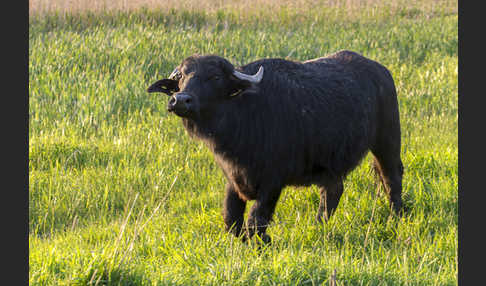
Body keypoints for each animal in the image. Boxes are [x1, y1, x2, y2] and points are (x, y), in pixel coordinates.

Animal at [147, 50, 402, 242]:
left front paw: (264, 242)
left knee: (392, 178)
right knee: (333, 191)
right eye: (181, 77)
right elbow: (231, 221)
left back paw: (396, 217)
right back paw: (319, 225)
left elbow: (255, 221)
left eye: (215, 77)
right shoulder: (233, 178)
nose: (180, 100)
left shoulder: (272, 183)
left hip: (387, 140)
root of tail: (381, 72)